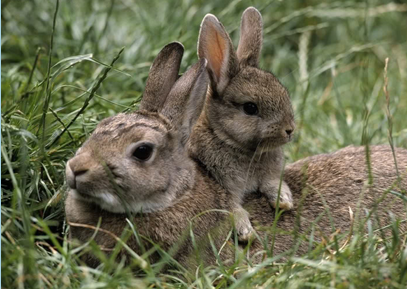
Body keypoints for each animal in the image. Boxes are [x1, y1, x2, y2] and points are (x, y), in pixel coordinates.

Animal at [188, 7, 296, 241]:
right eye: (250, 108)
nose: (289, 130)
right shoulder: (222, 185)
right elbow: (231, 207)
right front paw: (246, 232)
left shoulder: (269, 174)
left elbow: (272, 183)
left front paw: (284, 201)